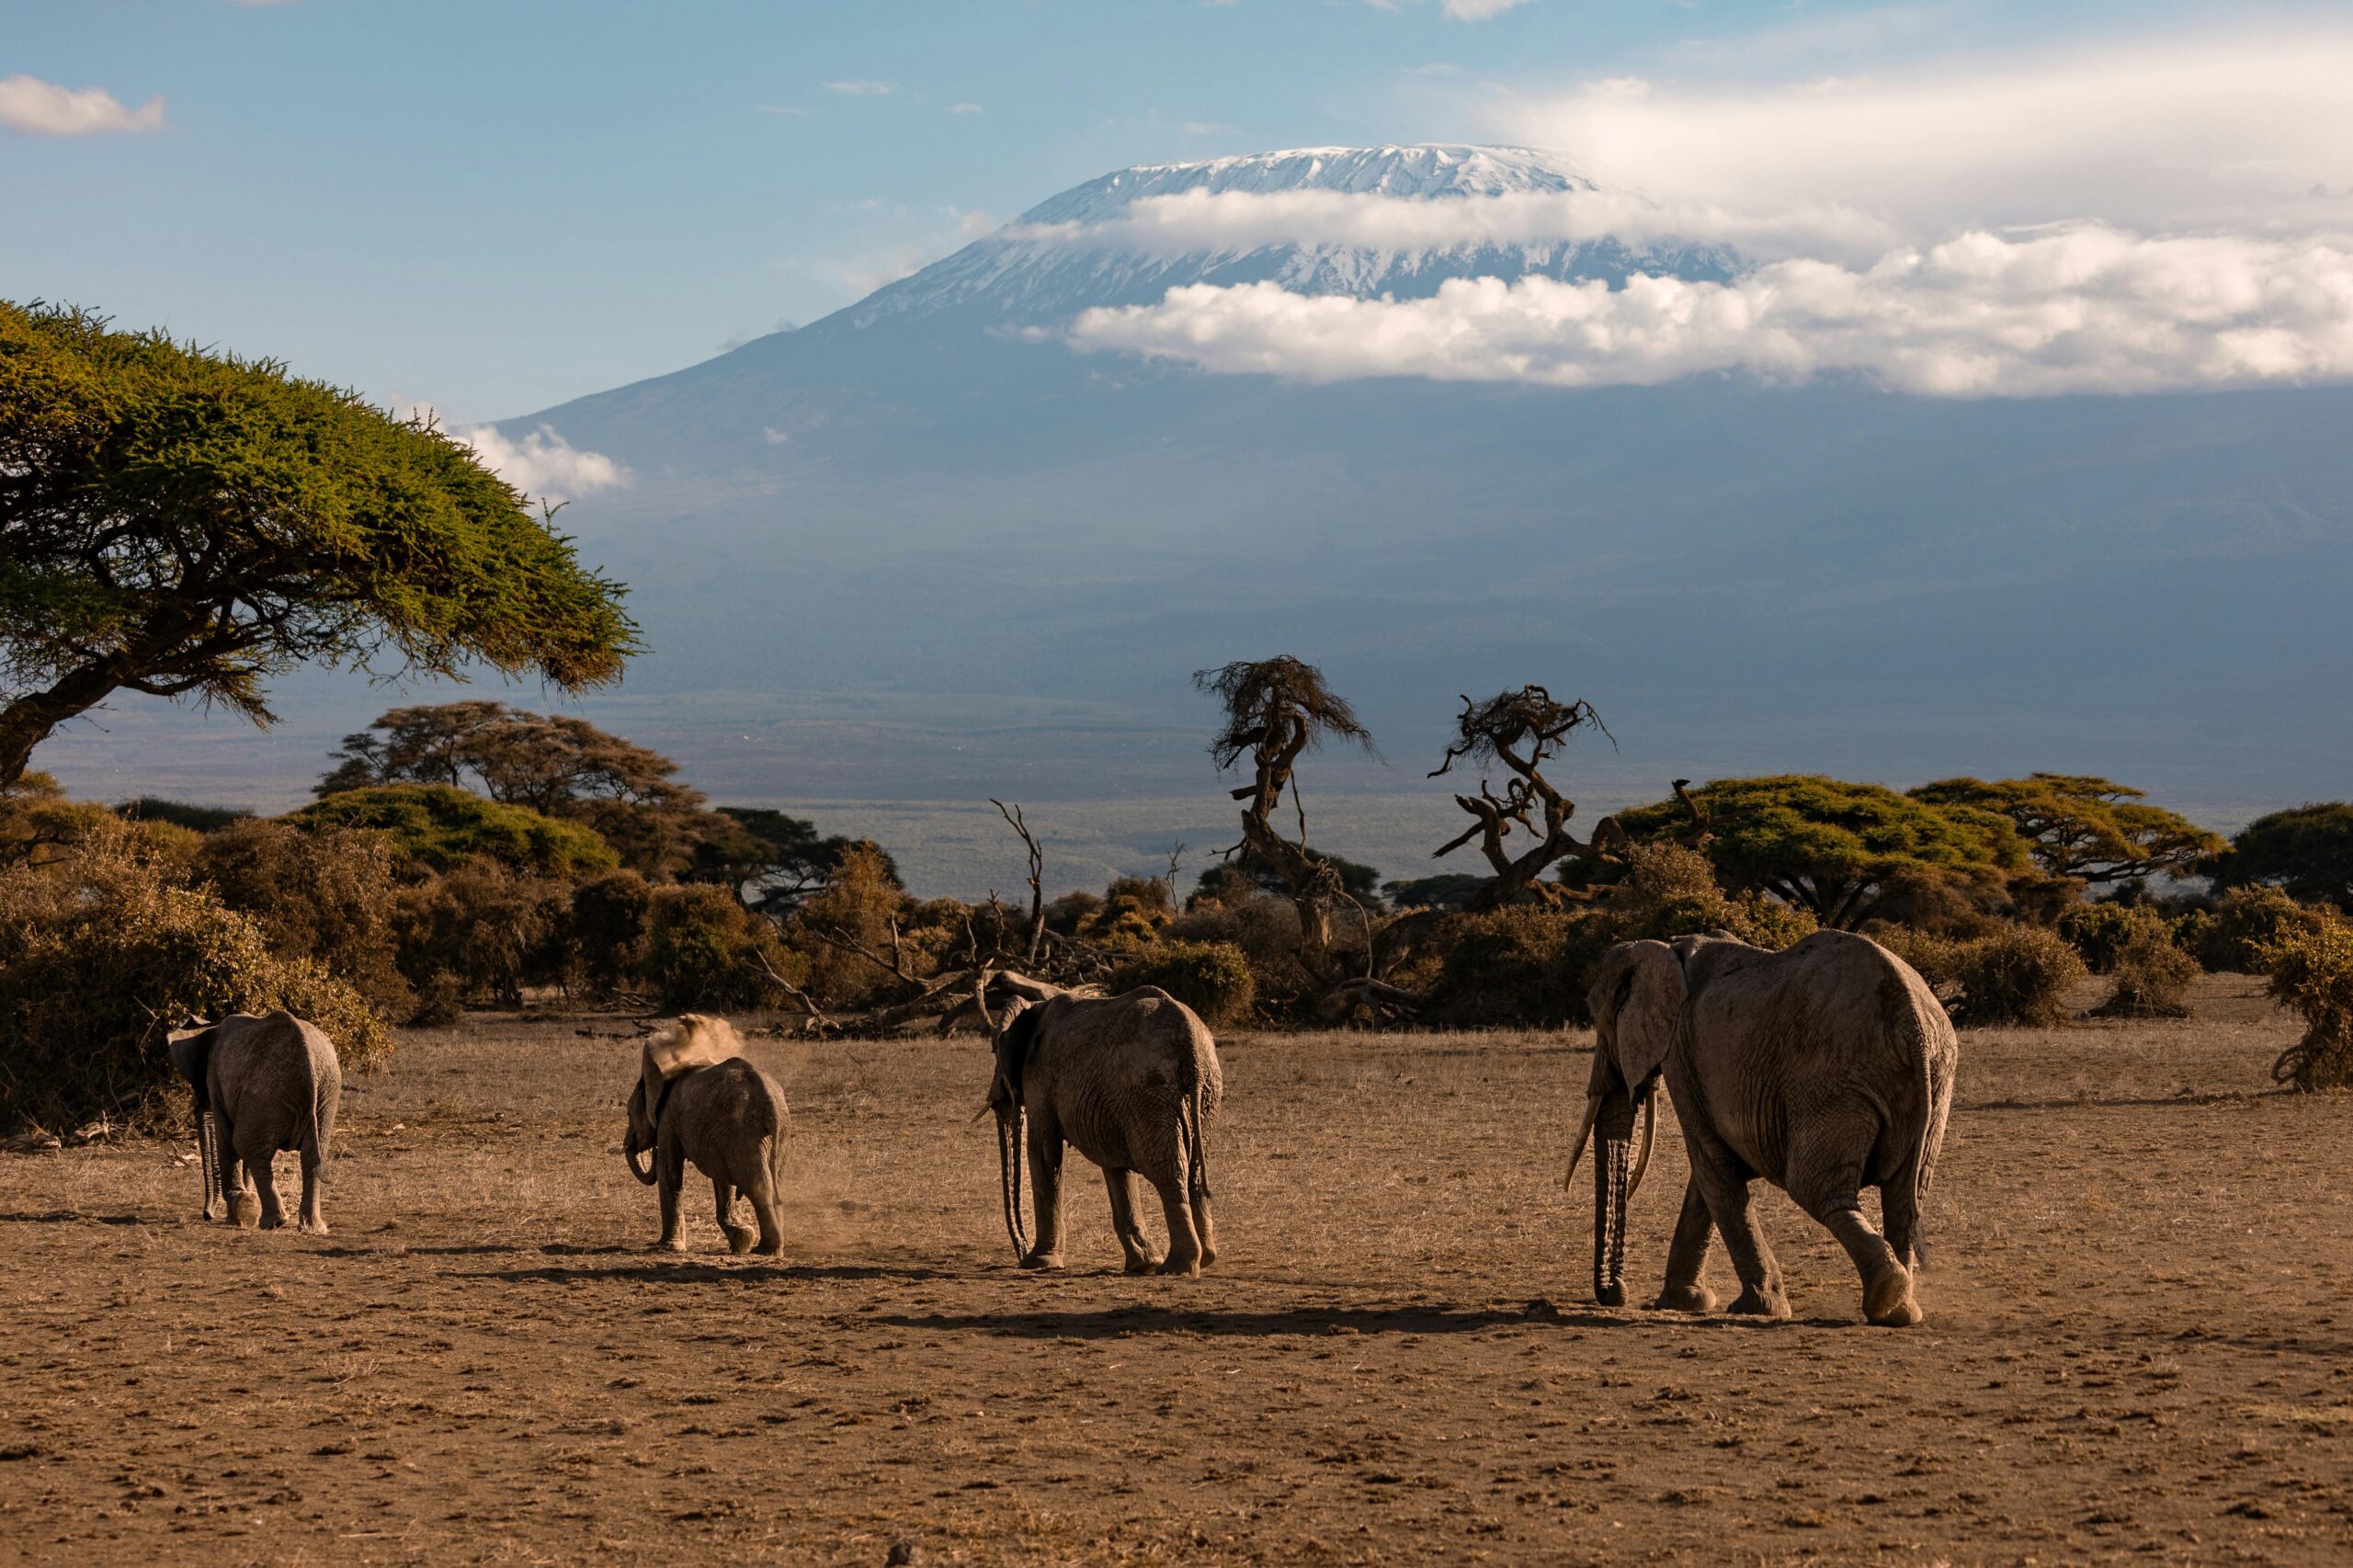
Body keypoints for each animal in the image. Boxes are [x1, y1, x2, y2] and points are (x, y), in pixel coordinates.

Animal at [168, 1010, 342, 1234]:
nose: (207, 1216)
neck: (211, 1028)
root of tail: (308, 1062)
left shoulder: (215, 1079)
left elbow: (226, 1140)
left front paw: (234, 1215)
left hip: (267, 1091)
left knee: (248, 1148)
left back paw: (273, 1222)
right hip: (326, 1091)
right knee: (311, 1154)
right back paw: (312, 1228)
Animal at [623, 1014, 789, 1256]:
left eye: (628, 1112)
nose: (652, 1150)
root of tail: (769, 1101)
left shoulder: (669, 1119)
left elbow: (669, 1173)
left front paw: (668, 1248)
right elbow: (722, 1179)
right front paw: (741, 1241)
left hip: (744, 1130)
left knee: (759, 1185)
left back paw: (765, 1250)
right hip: (771, 1134)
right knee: (774, 1180)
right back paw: (769, 1247)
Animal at [987, 986, 1221, 1276]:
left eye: (993, 1050)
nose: (1021, 1254)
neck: (1034, 1006)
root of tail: (1190, 1045)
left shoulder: (1039, 1078)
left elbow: (1043, 1153)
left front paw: (1038, 1263)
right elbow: (1115, 1165)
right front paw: (1142, 1265)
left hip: (1149, 1090)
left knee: (1167, 1171)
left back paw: (1176, 1268)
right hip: (1203, 1093)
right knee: (1194, 1170)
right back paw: (1204, 1260)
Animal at [1569, 929, 1958, 1327]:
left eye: (1600, 1020)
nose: (1615, 1294)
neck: (1663, 949)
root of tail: (1911, 1022)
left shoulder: (1680, 1053)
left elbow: (1711, 1165)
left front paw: (1757, 1308)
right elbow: (1710, 1175)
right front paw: (1684, 1302)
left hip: (1832, 1079)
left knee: (1816, 1189)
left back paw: (1887, 1293)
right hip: (1934, 1077)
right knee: (1904, 1196)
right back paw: (1900, 1310)